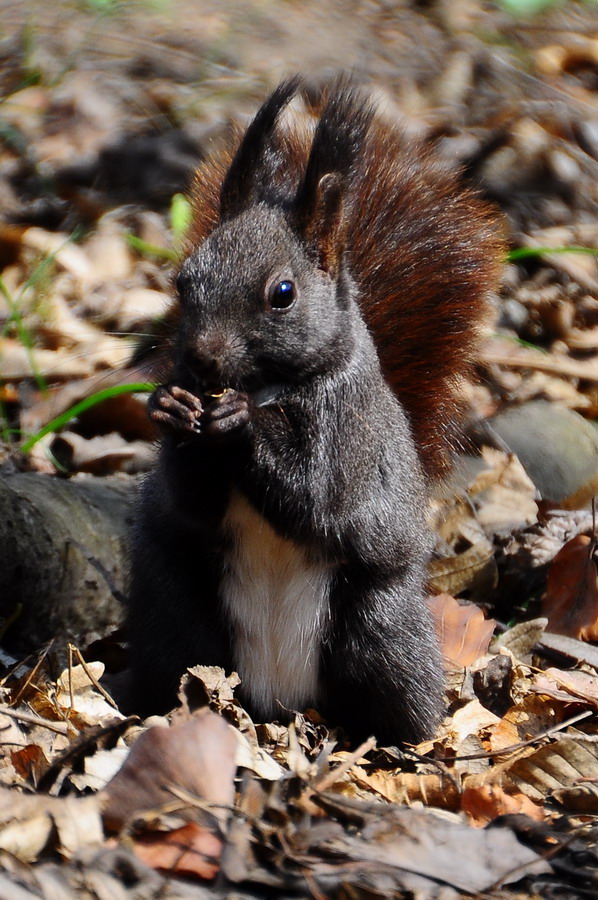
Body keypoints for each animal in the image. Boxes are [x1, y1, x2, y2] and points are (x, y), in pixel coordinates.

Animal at [127, 77, 506, 740]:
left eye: (283, 293)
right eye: (183, 281)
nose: (200, 361)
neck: (266, 387)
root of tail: (280, 696)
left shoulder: (347, 432)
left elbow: (316, 501)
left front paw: (242, 427)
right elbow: (191, 501)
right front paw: (172, 408)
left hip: (379, 630)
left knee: (398, 693)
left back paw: (403, 741)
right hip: (178, 615)